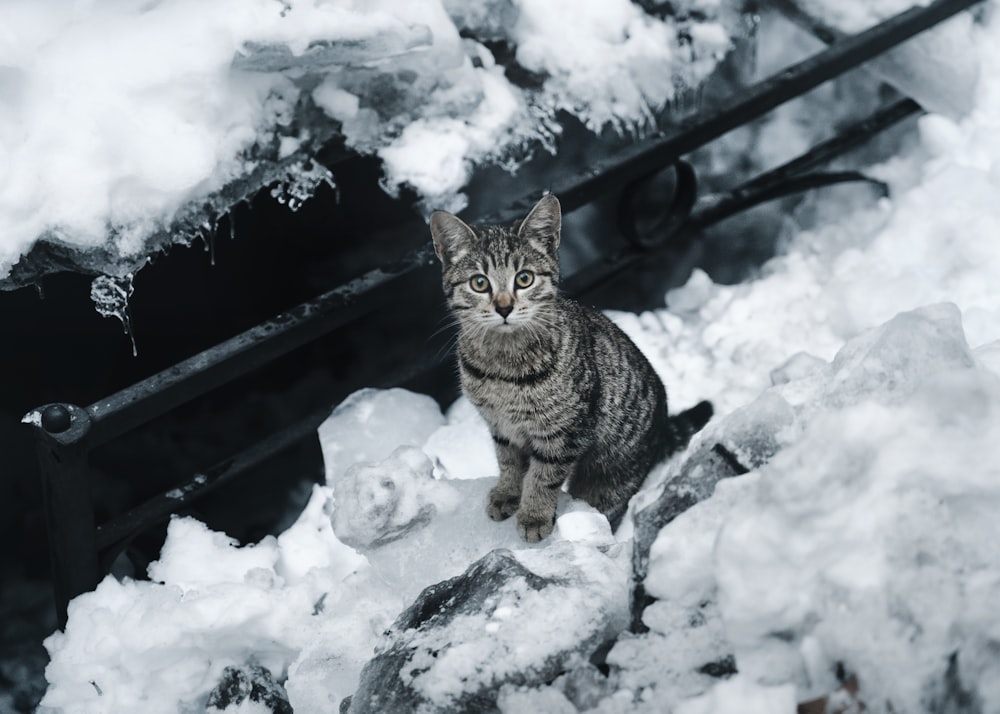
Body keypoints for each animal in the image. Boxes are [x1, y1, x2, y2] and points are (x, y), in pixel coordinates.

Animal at [432, 195, 712, 540]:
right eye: (479, 283)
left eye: (524, 278)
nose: (504, 307)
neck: (503, 369)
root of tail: (661, 430)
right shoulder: (501, 427)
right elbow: (509, 463)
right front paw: (507, 493)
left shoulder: (564, 433)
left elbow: (543, 476)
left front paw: (534, 515)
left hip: (607, 480)